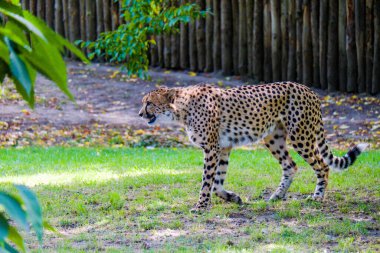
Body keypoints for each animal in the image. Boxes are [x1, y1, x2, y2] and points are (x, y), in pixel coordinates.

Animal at [138, 81, 366, 211]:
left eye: (149, 103)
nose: (140, 114)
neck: (181, 109)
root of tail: (308, 89)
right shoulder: (223, 147)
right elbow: (217, 184)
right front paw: (233, 198)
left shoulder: (212, 148)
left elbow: (206, 182)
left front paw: (201, 206)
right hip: (273, 138)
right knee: (291, 165)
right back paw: (276, 196)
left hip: (301, 136)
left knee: (322, 165)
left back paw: (317, 197)